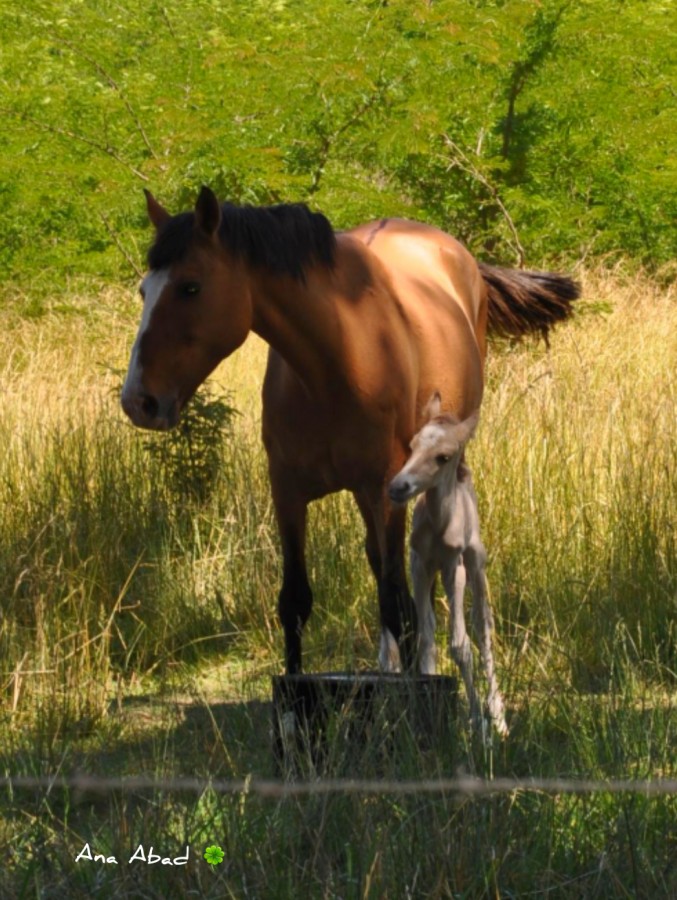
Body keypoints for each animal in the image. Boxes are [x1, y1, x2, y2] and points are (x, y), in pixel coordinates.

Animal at [120, 186, 576, 672]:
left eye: (190, 286)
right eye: (144, 290)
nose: (138, 401)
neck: (337, 359)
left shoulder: (386, 490)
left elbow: (397, 601)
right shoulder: (288, 492)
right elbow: (296, 601)